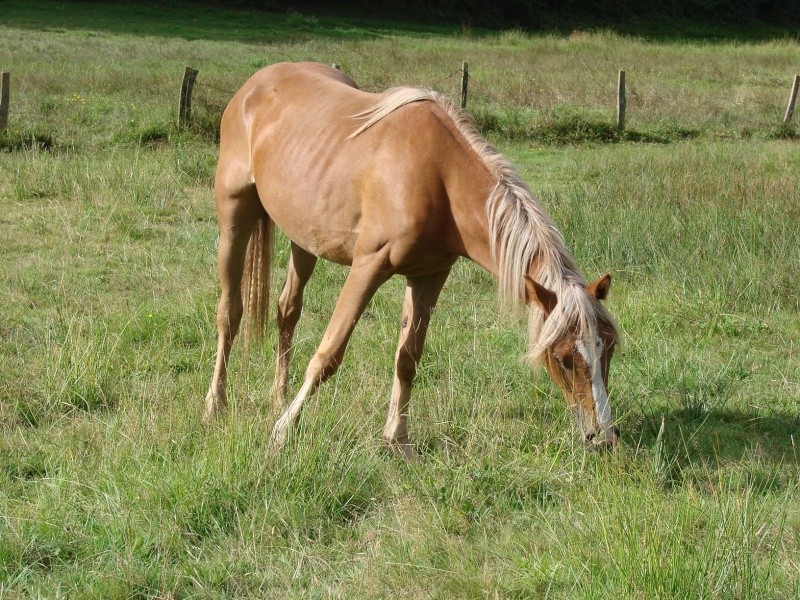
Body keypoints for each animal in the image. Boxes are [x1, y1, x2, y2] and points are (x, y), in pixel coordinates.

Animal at [202, 61, 620, 454]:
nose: (603, 438)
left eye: (609, 348)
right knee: (230, 312)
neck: (439, 178)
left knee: (287, 310)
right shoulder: (368, 266)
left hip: (304, 239)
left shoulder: (429, 276)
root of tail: (254, 86)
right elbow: (328, 354)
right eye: (564, 357)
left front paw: (398, 440)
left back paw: (278, 397)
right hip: (234, 217)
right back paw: (216, 405)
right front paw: (282, 432)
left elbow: (408, 358)